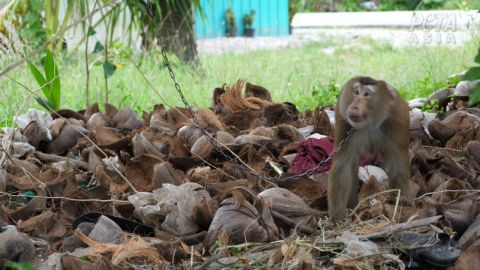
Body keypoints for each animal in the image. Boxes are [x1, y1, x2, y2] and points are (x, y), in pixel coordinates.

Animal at [328, 75, 410, 219]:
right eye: (356, 92)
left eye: (366, 95)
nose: (354, 106)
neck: (370, 123)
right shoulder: (343, 118)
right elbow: (343, 164)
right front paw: (337, 219)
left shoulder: (397, 118)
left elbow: (398, 163)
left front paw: (401, 207)